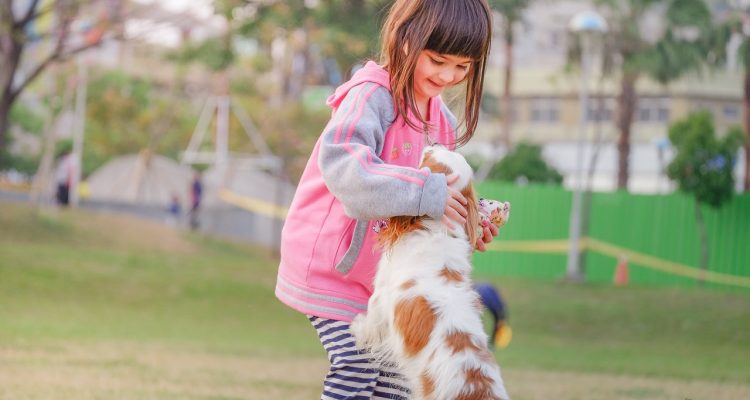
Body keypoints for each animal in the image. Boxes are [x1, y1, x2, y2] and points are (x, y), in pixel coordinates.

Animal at [352, 145, 512, 400]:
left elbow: (371, 322)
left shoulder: (381, 296)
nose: (434, 143)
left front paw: (357, 327)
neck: (437, 229)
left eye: (428, 158)